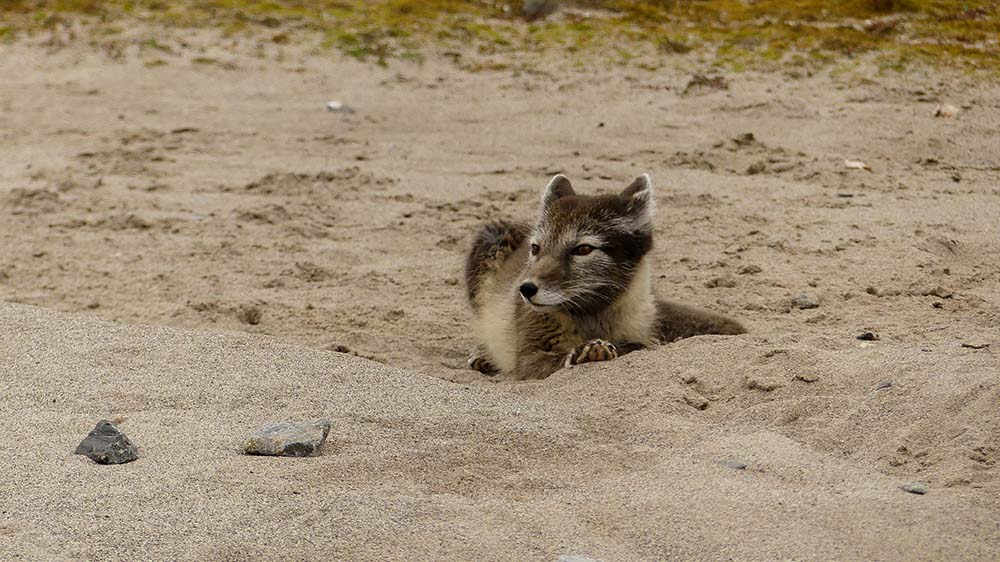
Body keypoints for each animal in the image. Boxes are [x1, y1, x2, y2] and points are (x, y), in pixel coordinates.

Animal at [464, 173, 748, 378]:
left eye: (583, 249)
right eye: (535, 249)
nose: (525, 289)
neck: (594, 316)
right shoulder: (528, 358)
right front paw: (588, 351)